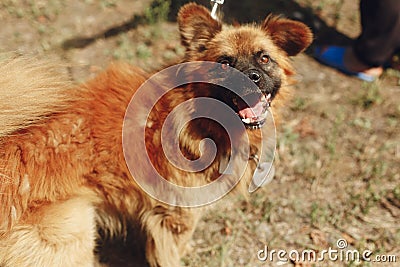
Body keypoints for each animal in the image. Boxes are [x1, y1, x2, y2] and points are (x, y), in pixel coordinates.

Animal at [0, 3, 312, 266]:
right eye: (224, 63)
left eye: (264, 58)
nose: (250, 77)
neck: (197, 115)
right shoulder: (175, 218)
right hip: (71, 238)